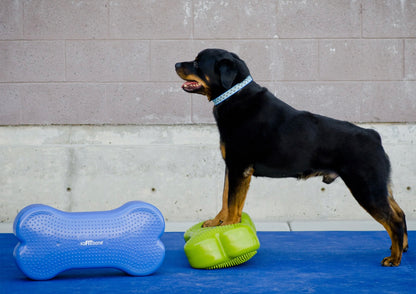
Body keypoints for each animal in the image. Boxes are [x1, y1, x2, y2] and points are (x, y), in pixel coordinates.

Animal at [174, 48, 408, 266]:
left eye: (197, 63)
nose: (176, 63)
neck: (234, 96)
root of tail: (373, 135)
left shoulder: (239, 167)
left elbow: (232, 203)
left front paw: (230, 227)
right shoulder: (232, 167)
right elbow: (225, 197)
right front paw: (217, 222)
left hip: (366, 187)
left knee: (393, 221)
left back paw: (394, 258)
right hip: (379, 186)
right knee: (400, 213)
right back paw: (402, 248)